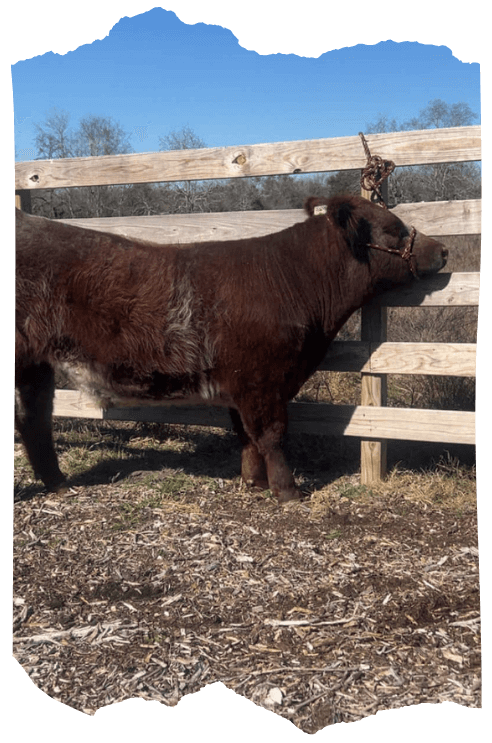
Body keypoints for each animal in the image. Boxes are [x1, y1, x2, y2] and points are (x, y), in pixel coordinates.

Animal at [15, 195, 447, 502]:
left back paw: (58, 484)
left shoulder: (247, 383)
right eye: (393, 228)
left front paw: (253, 482)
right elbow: (271, 434)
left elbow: (247, 435)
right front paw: (288, 491)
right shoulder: (261, 379)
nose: (442, 250)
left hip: (34, 364)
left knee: (34, 420)